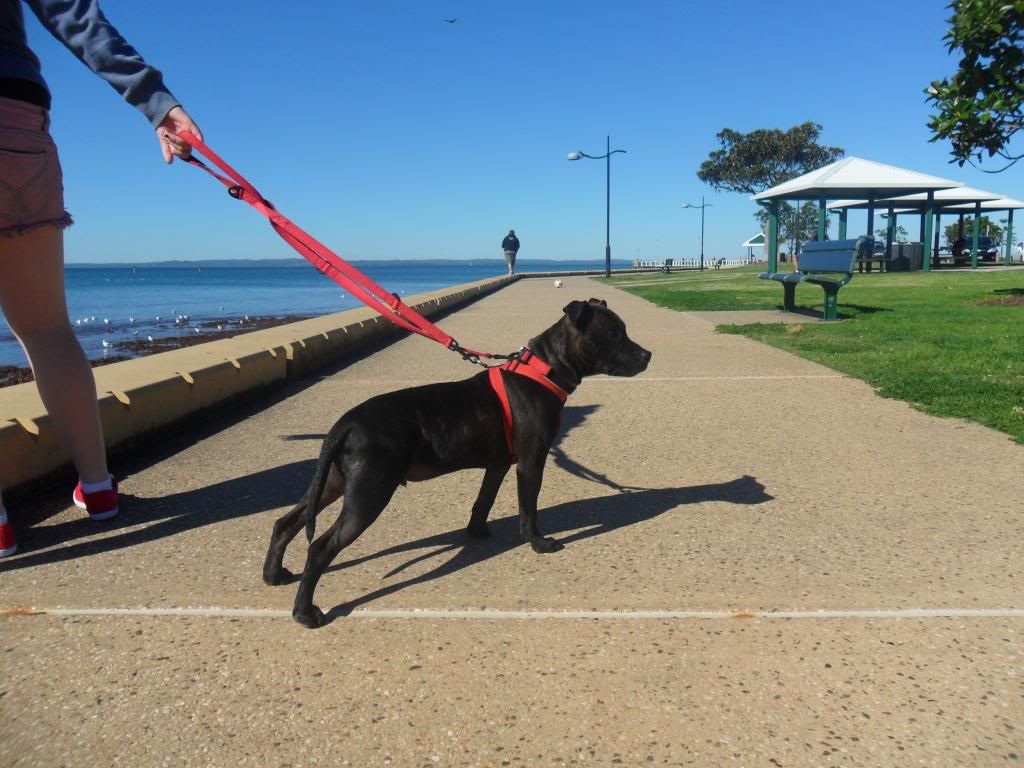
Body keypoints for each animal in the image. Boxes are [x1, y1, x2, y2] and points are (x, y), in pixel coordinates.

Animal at [262, 296, 647, 626]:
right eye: (615, 334)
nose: (648, 355)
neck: (543, 370)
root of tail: (346, 424)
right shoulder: (530, 462)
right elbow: (528, 508)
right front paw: (539, 543)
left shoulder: (498, 465)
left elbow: (483, 500)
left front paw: (477, 532)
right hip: (369, 493)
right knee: (320, 547)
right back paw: (305, 612)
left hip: (334, 483)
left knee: (285, 522)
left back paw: (272, 574)